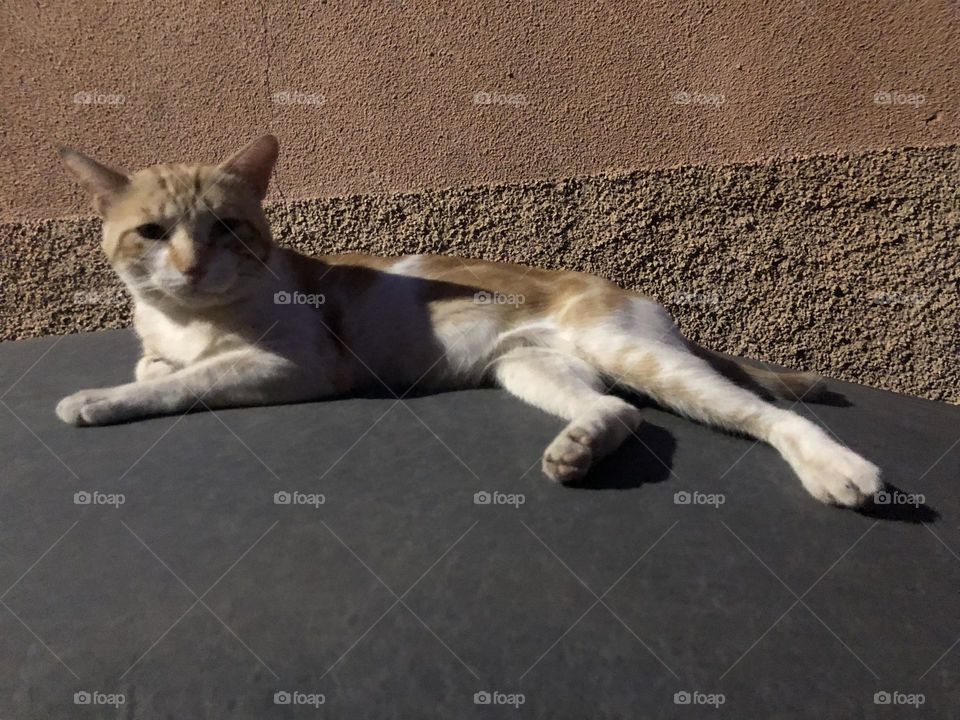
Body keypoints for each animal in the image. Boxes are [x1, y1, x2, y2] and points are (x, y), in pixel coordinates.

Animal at [58, 135, 884, 506]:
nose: (192, 266)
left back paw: (839, 468)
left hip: (641, 356)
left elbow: (182, 380)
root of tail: (619, 287)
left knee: (769, 415)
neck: (189, 317)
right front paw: (152, 361)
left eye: (226, 229)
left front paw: (99, 398)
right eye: (153, 233)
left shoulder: (295, 363)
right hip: (528, 368)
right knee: (619, 411)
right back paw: (579, 449)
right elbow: (159, 365)